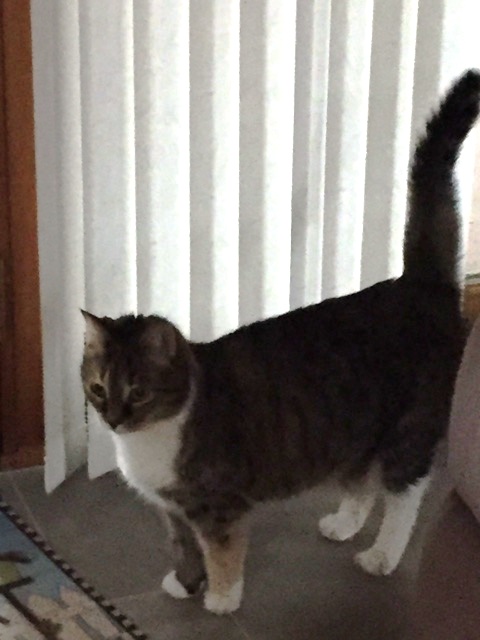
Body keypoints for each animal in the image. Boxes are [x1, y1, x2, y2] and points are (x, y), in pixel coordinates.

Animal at [81, 69, 480, 615]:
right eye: (98, 388)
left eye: (138, 392)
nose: (113, 418)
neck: (152, 438)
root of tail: (418, 284)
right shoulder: (173, 509)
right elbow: (183, 548)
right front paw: (185, 583)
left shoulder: (219, 505)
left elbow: (222, 552)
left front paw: (221, 598)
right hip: (350, 430)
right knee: (362, 482)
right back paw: (343, 524)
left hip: (410, 429)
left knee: (404, 493)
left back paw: (381, 555)